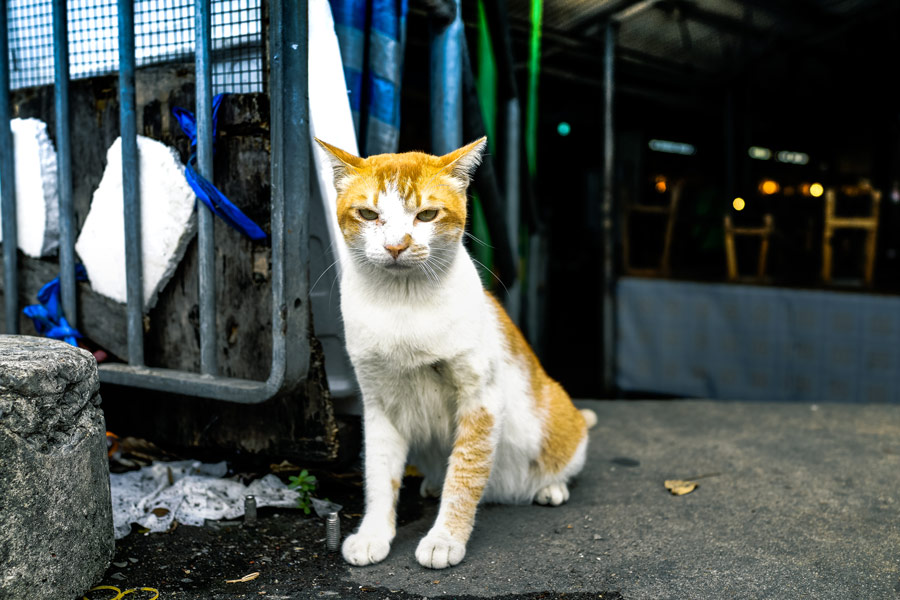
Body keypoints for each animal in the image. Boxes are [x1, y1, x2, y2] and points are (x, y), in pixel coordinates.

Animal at [312, 137, 596, 572]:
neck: (403, 304)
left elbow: (465, 473)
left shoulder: (480, 400)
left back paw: (551, 488)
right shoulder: (378, 402)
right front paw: (374, 534)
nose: (396, 246)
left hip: (559, 419)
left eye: (427, 214)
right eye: (369, 214)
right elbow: (379, 474)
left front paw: (445, 538)